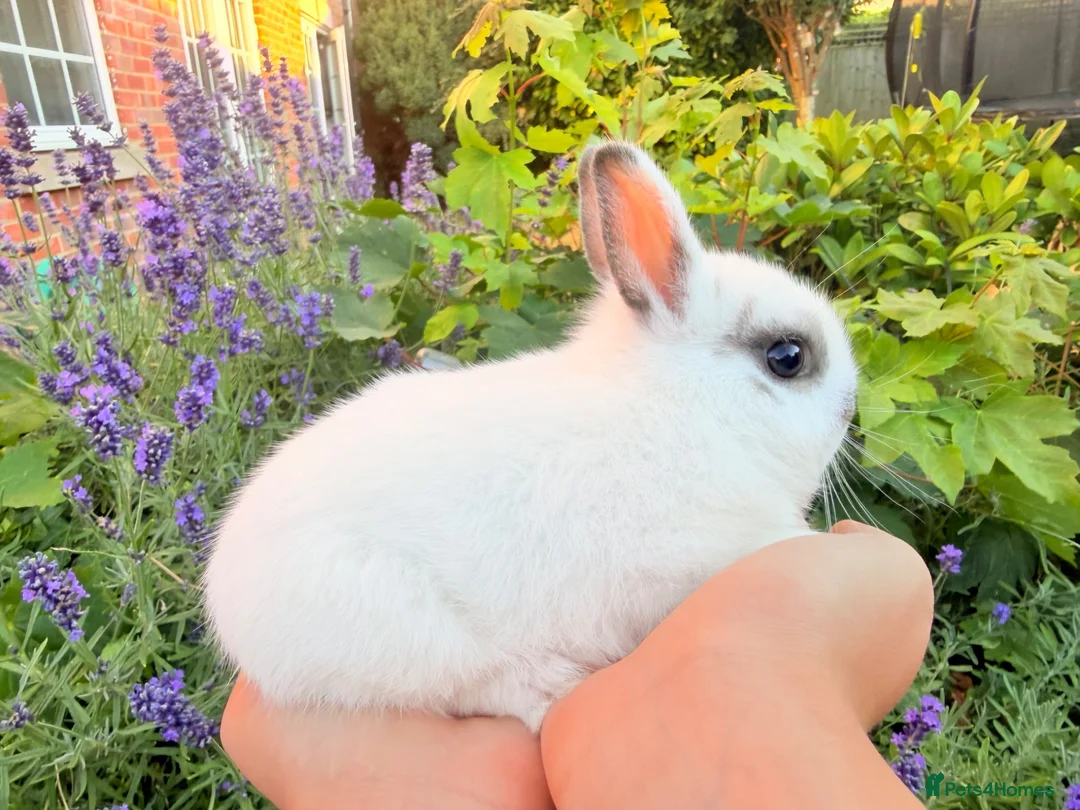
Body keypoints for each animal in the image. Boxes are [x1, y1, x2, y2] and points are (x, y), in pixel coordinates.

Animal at [203, 140, 859, 733]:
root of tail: (226, 599)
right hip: (409, 634)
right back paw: (551, 686)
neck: (687, 408)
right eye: (787, 357)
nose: (852, 410)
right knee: (474, 685)